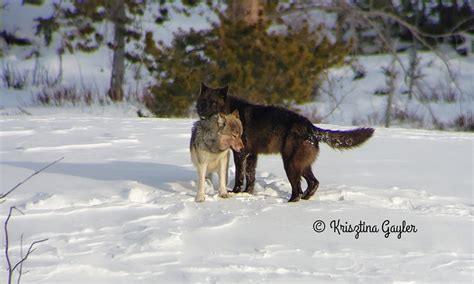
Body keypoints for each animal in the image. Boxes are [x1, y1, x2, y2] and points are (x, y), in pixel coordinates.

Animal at [196, 82, 374, 202]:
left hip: (290, 164)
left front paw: (236, 192)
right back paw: (305, 199)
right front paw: (248, 193)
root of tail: (310, 127)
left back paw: (291, 202)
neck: (229, 110)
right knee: (313, 183)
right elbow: (250, 176)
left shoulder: (241, 154)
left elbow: (240, 176)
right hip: (301, 165)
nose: (201, 111)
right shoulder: (252, 155)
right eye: (203, 101)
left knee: (298, 188)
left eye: (213, 103)